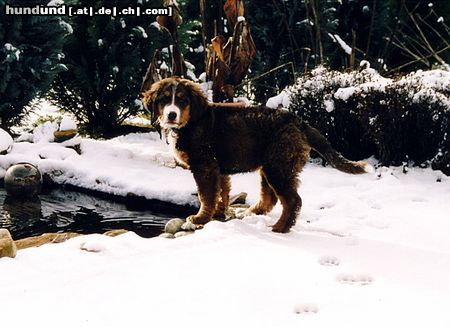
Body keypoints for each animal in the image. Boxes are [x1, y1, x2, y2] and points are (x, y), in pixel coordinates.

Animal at [142, 77, 372, 233]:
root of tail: (299, 122)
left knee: (292, 200)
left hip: (278, 165)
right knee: (270, 199)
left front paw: (199, 219)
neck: (191, 121)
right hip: (270, 166)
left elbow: (205, 195)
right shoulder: (218, 168)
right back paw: (248, 212)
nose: (171, 114)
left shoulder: (204, 166)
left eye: (182, 101)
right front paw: (219, 213)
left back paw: (280, 227)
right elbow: (221, 192)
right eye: (164, 100)